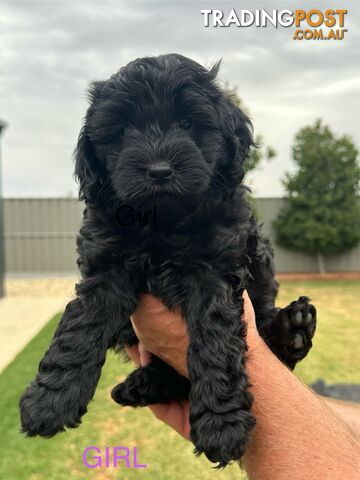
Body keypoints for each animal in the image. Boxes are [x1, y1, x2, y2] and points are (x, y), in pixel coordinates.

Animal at [20, 54, 316, 466]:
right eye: (124, 130)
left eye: (187, 123)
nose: (159, 170)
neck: (161, 221)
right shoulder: (107, 265)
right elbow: (80, 327)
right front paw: (50, 399)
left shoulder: (216, 270)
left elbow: (215, 340)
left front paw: (221, 423)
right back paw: (140, 385)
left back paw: (293, 330)